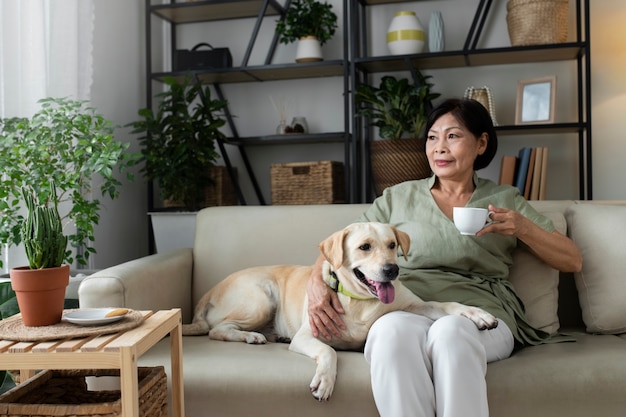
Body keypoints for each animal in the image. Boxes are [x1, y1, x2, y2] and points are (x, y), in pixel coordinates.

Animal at [182, 221, 498, 400]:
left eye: (392, 245)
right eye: (364, 247)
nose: (392, 270)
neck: (359, 300)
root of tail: (209, 291)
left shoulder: (415, 305)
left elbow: (445, 304)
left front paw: (477, 314)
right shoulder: (308, 336)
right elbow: (329, 351)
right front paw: (325, 380)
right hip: (261, 299)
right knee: (217, 330)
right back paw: (251, 337)